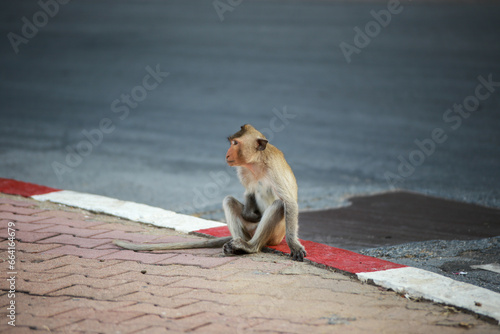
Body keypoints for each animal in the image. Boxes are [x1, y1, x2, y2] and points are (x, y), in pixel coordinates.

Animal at [114, 124, 306, 262]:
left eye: (235, 143)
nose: (227, 154)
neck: (255, 163)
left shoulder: (273, 168)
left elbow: (288, 202)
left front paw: (294, 245)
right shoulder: (242, 170)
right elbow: (249, 191)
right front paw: (249, 212)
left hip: (276, 236)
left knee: (278, 205)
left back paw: (249, 247)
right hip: (251, 229)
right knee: (228, 201)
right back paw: (237, 244)